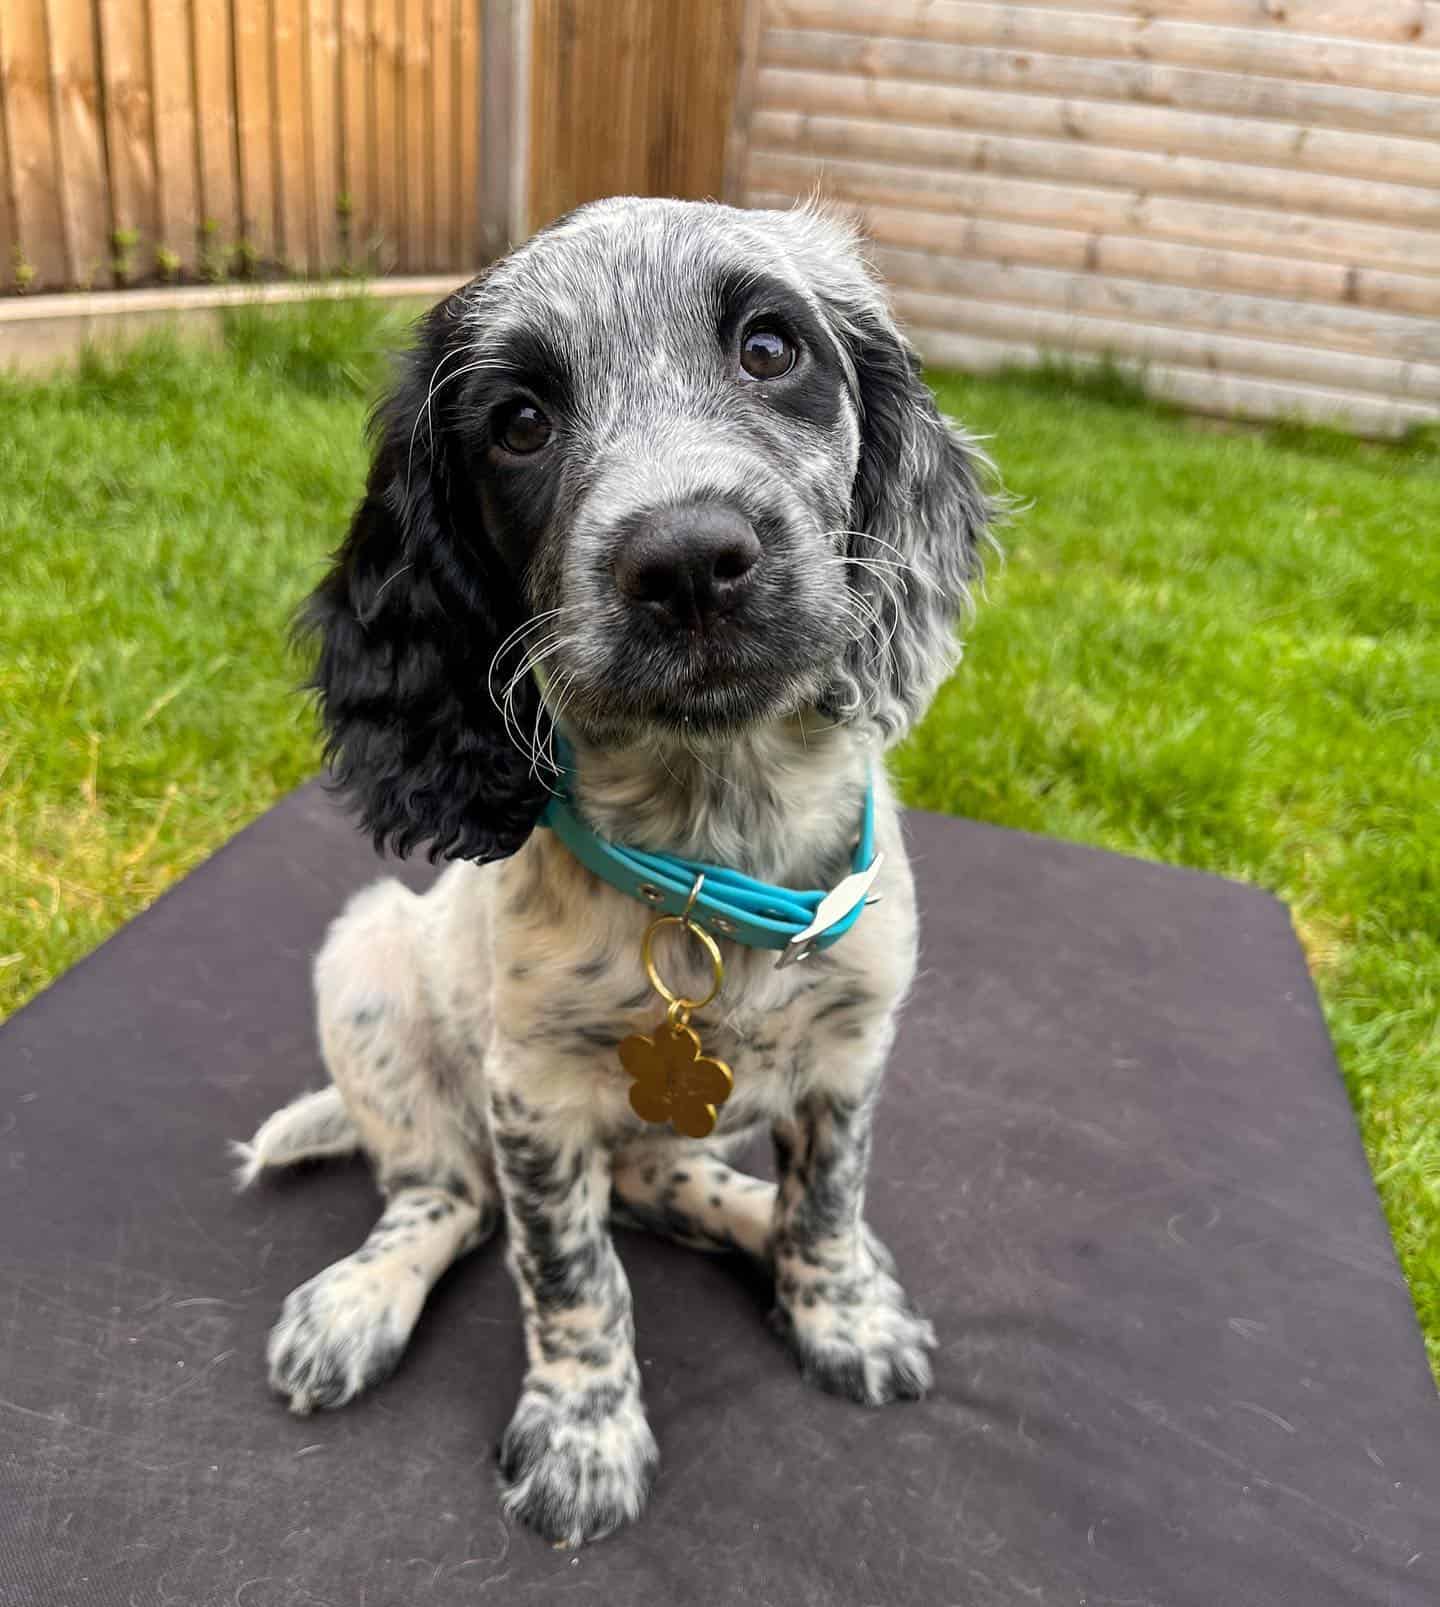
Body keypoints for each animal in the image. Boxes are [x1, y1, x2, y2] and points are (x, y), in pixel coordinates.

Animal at [236, 197, 1002, 1542]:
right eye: (518, 422)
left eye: (771, 348)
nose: (688, 560)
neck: (712, 848)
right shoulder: (535, 1095)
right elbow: (572, 1273)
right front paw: (583, 1433)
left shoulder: (854, 1049)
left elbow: (830, 1195)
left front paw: (843, 1309)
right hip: (370, 965)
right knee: (447, 1197)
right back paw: (357, 1299)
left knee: (666, 1176)